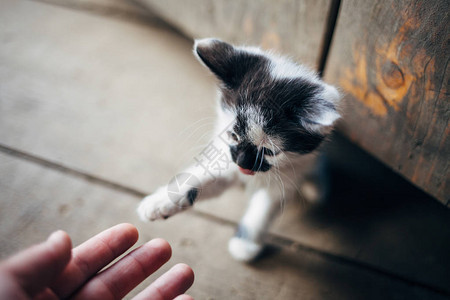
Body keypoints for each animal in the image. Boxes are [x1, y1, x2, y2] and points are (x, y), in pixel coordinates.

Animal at [137, 38, 342, 262]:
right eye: (233, 136)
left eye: (269, 152)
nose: (242, 163)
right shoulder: (226, 157)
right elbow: (204, 178)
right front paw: (160, 202)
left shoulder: (287, 177)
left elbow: (264, 207)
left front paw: (245, 244)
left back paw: (317, 187)